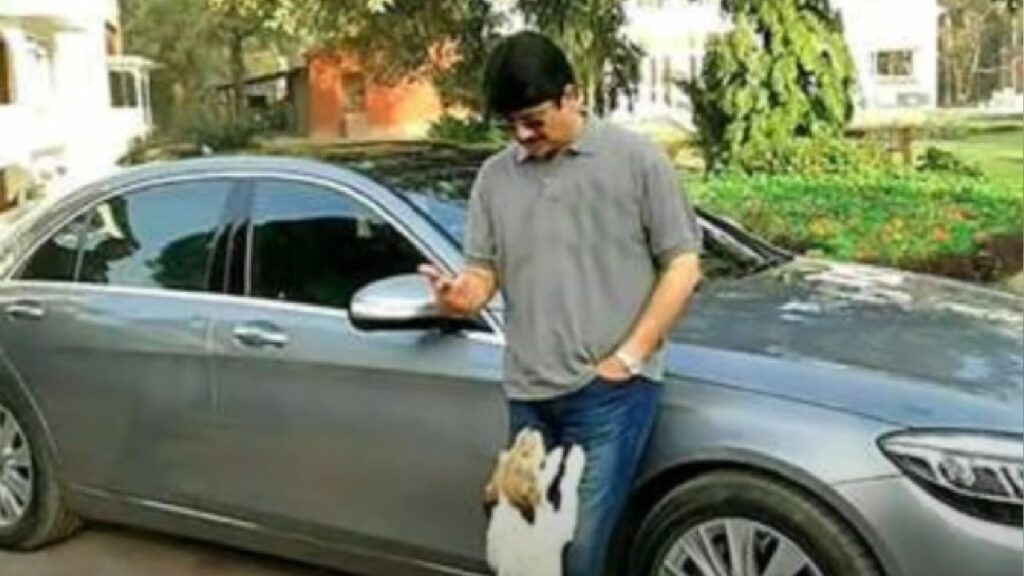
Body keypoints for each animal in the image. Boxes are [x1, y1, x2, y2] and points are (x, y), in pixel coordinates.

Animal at [485, 426, 589, 573]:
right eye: (541, 464)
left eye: (510, 450)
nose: (530, 428)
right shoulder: (562, 525)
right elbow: (567, 485)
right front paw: (575, 453)